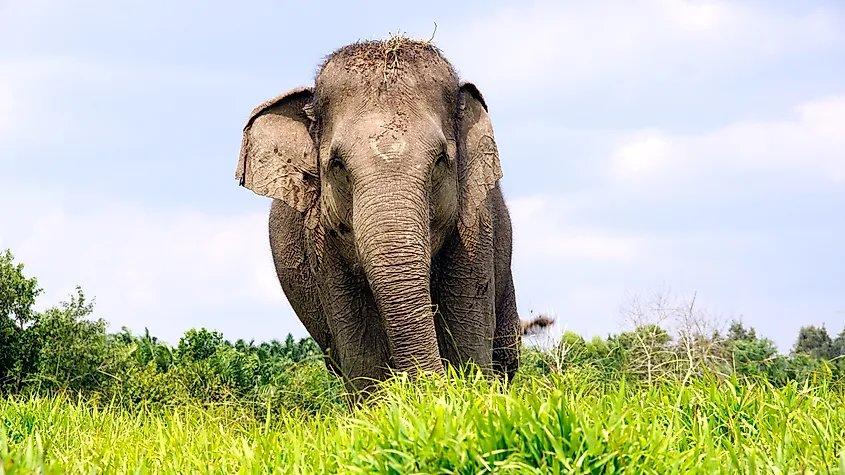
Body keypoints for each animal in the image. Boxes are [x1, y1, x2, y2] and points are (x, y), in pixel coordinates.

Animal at [234, 38, 521, 395]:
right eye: (337, 165)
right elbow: (364, 358)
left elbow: (469, 347)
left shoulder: (475, 230)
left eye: (441, 160)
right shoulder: (322, 248)